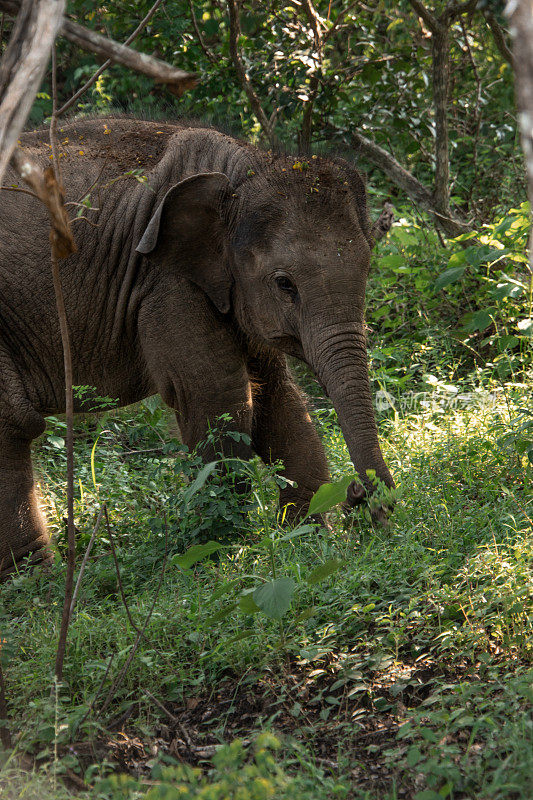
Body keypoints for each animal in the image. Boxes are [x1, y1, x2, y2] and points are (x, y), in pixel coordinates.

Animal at [0, 115, 392, 580]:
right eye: (285, 284)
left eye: (368, 268)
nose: (359, 496)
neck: (244, 165)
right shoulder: (166, 285)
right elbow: (218, 397)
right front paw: (224, 553)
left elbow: (278, 398)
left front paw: (306, 538)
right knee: (11, 423)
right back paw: (38, 584)